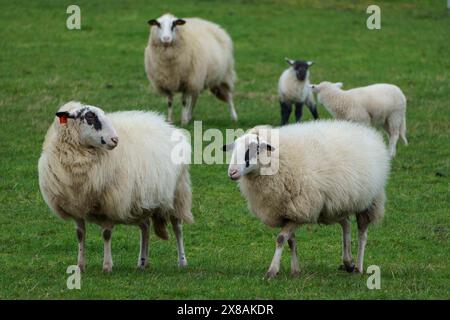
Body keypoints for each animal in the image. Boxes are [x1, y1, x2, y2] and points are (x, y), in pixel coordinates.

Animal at [37, 101, 192, 272]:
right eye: (90, 117)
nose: (115, 139)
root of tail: (165, 124)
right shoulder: (76, 207)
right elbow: (80, 234)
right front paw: (80, 266)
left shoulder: (108, 204)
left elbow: (106, 234)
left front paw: (107, 266)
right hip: (139, 200)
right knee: (145, 227)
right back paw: (142, 262)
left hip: (178, 193)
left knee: (178, 227)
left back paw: (182, 262)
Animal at [222, 120, 390, 278]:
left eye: (255, 149)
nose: (232, 172)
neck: (279, 159)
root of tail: (365, 130)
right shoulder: (287, 212)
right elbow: (291, 241)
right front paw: (295, 271)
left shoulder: (301, 211)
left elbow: (281, 238)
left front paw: (272, 271)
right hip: (336, 204)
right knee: (346, 224)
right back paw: (348, 262)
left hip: (370, 201)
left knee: (362, 234)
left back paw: (358, 267)